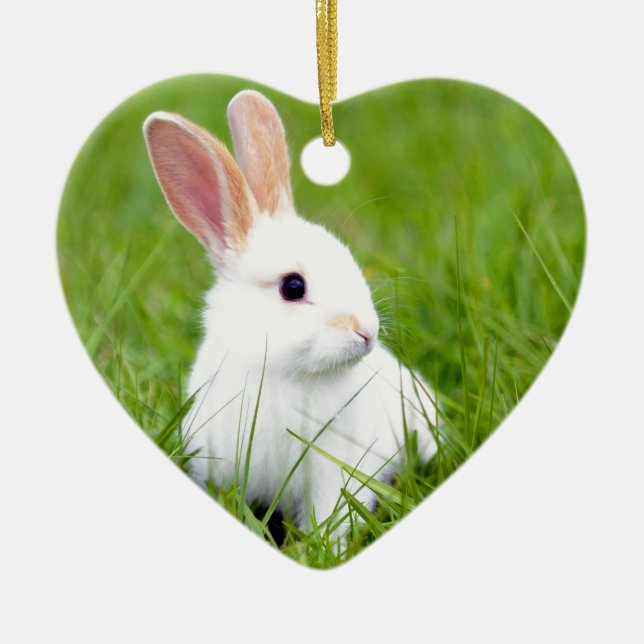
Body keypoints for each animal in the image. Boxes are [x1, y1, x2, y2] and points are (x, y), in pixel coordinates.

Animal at [143, 90, 438, 534]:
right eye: (293, 287)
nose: (366, 332)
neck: (282, 372)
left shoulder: (334, 469)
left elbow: (330, 512)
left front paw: (328, 542)